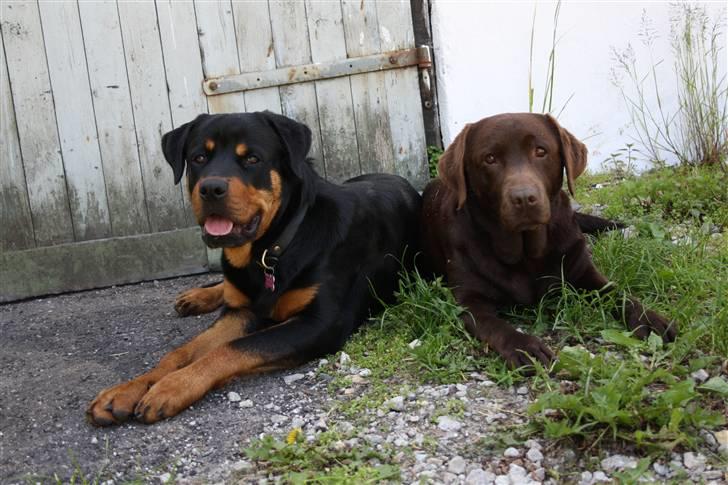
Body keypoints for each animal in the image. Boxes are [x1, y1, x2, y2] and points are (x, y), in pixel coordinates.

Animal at [87, 110, 418, 424]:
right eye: (199, 158)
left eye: (252, 159)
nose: (211, 188)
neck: (271, 249)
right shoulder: (240, 313)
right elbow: (183, 351)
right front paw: (125, 390)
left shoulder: (320, 323)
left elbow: (231, 349)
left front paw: (171, 387)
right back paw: (197, 296)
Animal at [420, 111, 676, 364]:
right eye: (489, 158)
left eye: (540, 151)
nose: (524, 198)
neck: (525, 252)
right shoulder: (468, 301)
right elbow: (496, 326)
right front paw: (525, 348)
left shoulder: (582, 271)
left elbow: (616, 293)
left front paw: (648, 318)